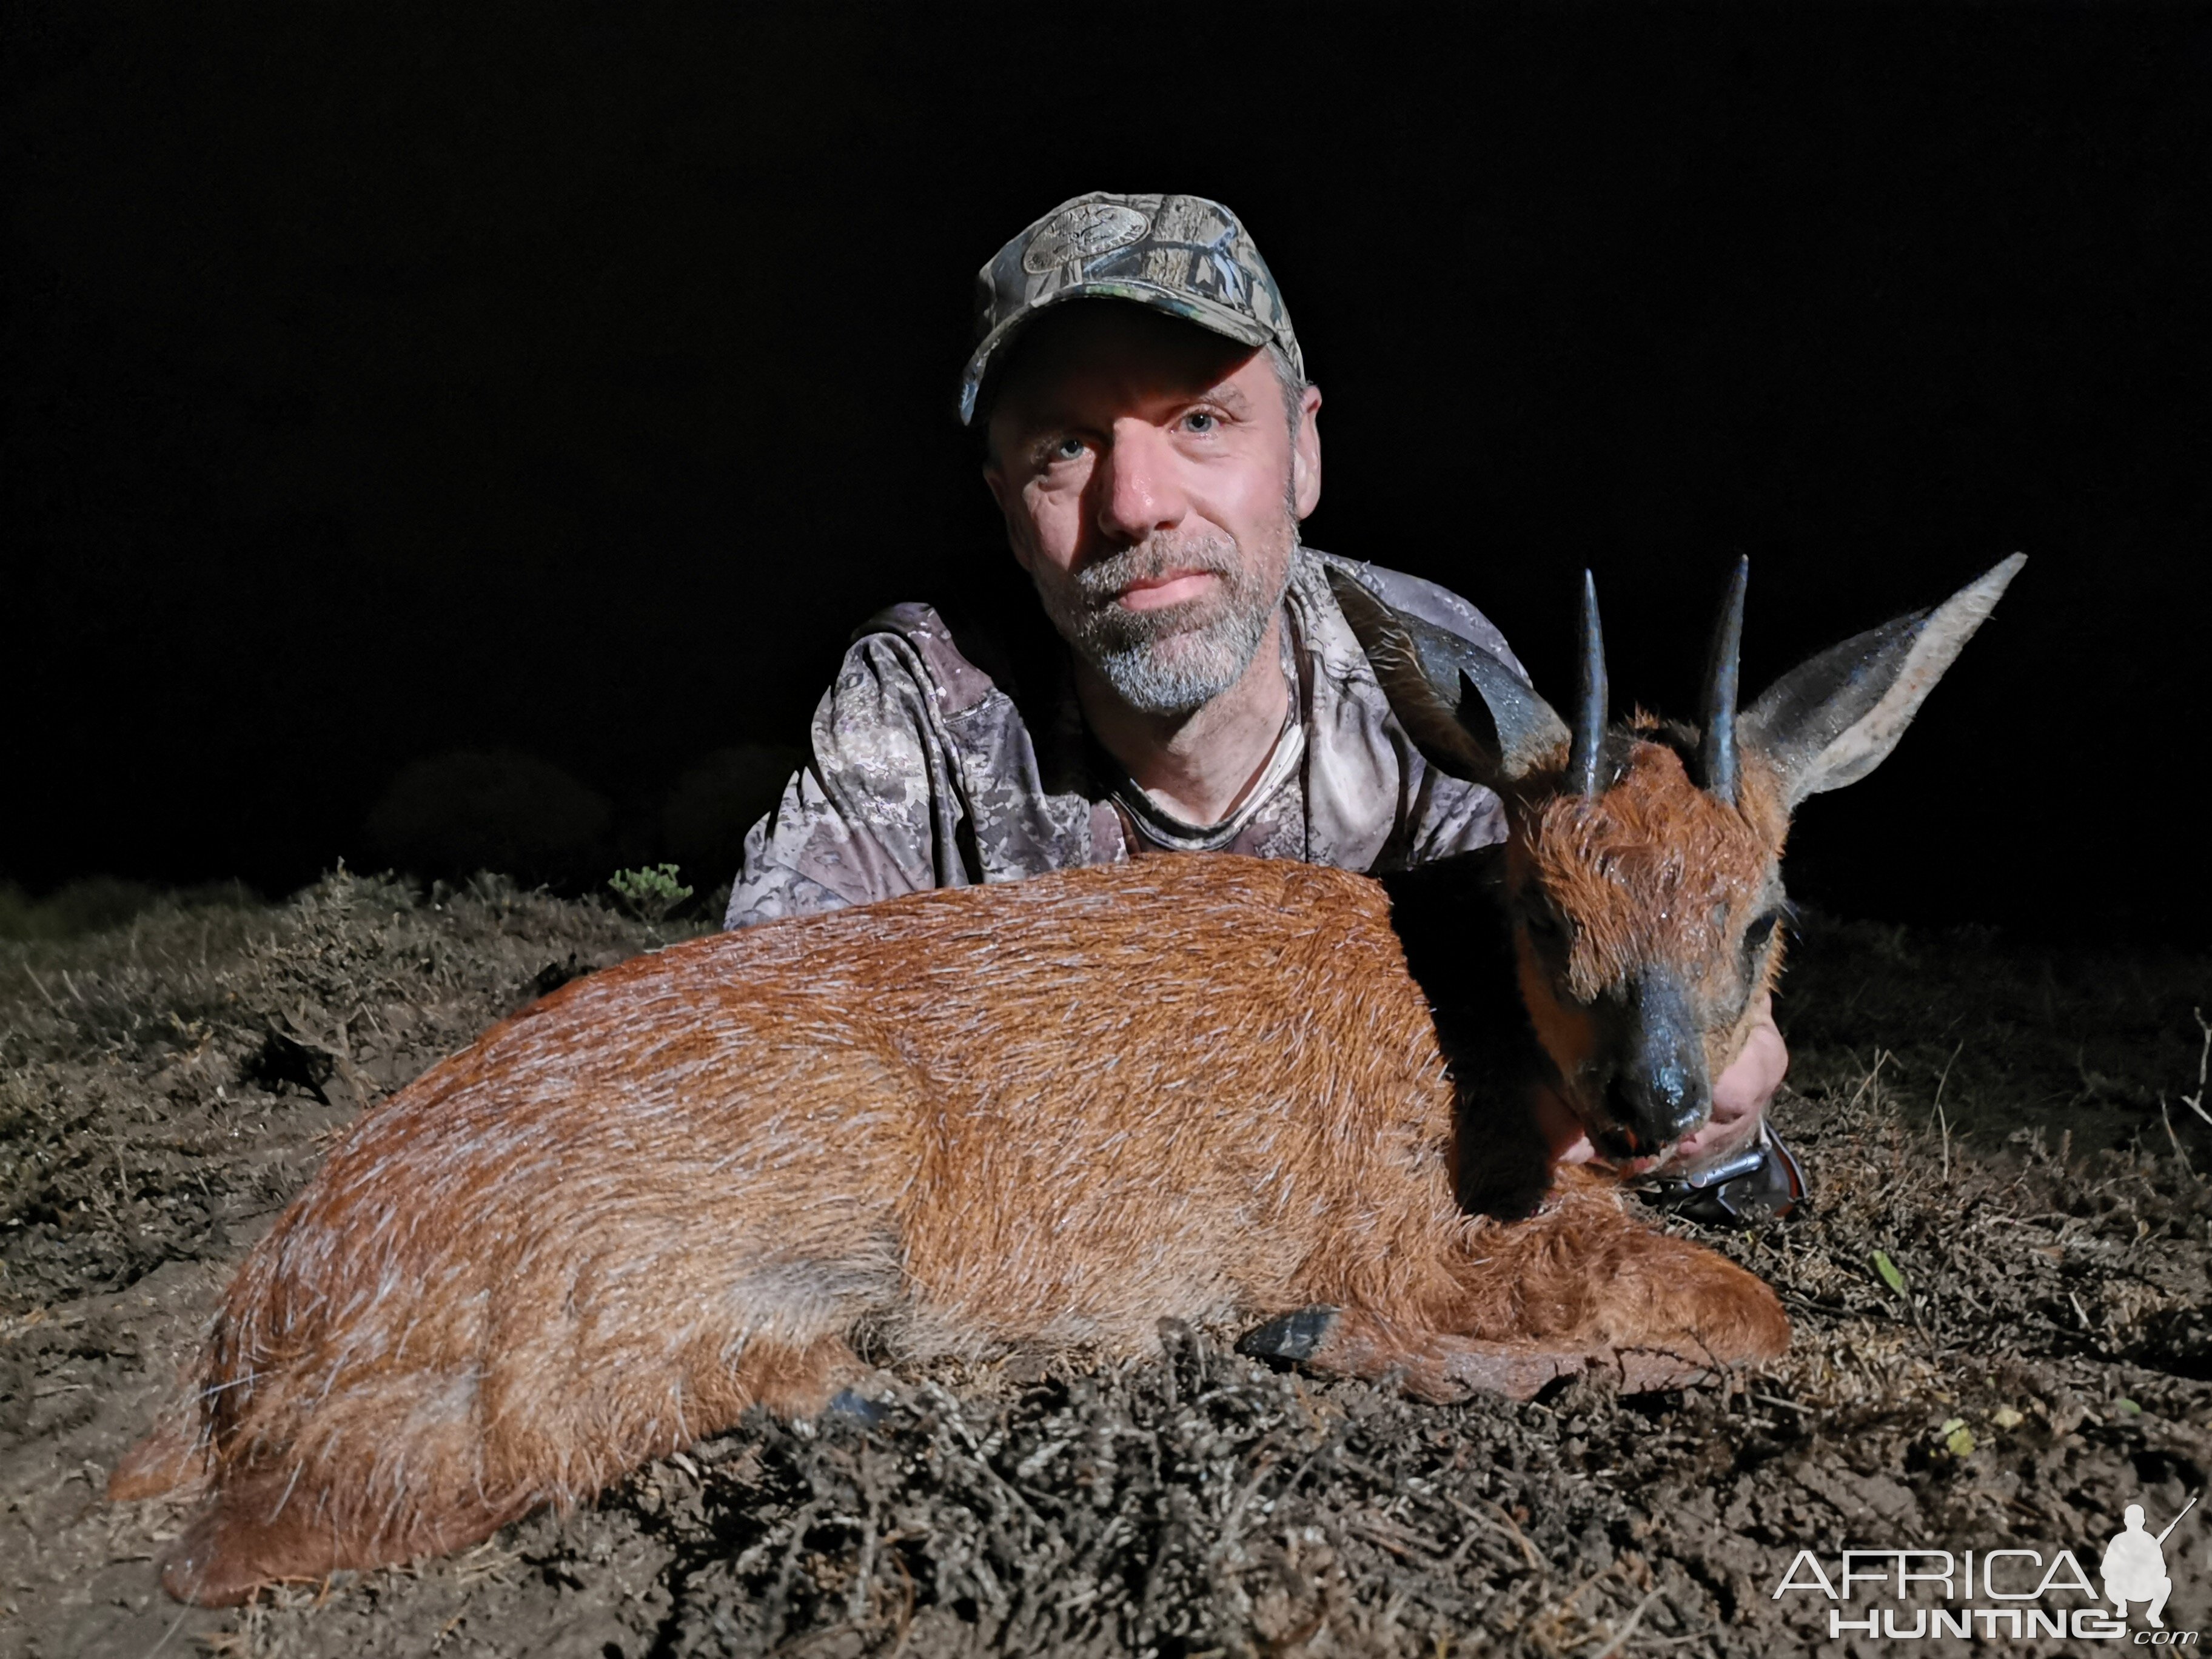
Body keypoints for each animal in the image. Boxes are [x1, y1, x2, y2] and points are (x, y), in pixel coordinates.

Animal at [116, 559, 2026, 1610]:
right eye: (1547, 911)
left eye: (1767, 912)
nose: (1660, 1100)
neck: (1480, 1059)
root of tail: (240, 1337)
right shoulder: (1401, 1226)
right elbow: (1736, 1311)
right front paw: (1336, 1341)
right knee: (297, 1517)